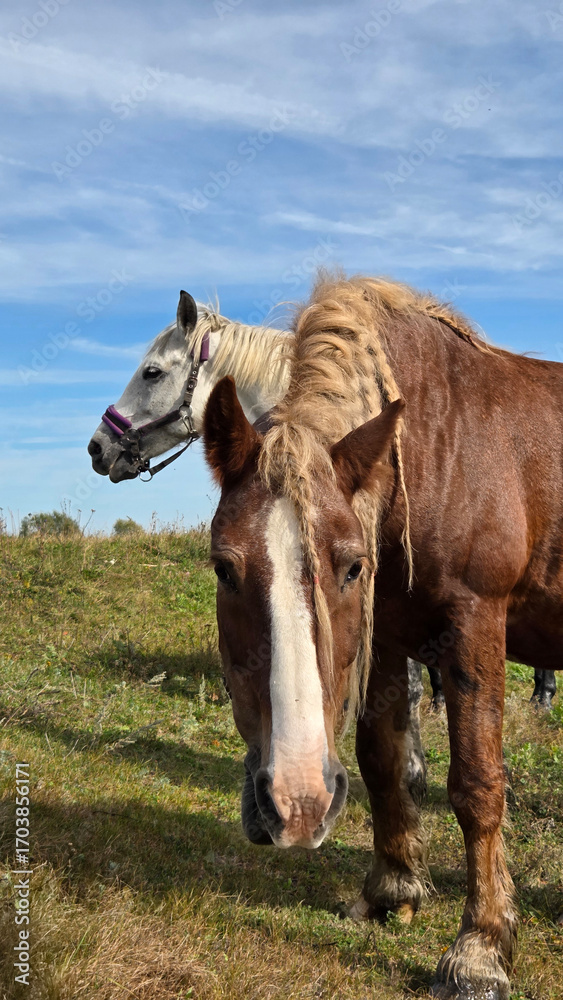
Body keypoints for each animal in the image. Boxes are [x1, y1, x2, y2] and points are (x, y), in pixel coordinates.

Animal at [201, 273, 563, 1000]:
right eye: (224, 568)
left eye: (349, 567)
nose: (297, 801)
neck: (437, 447)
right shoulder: (389, 635)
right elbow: (384, 760)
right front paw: (391, 887)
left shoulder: (474, 623)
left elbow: (477, 784)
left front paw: (481, 947)